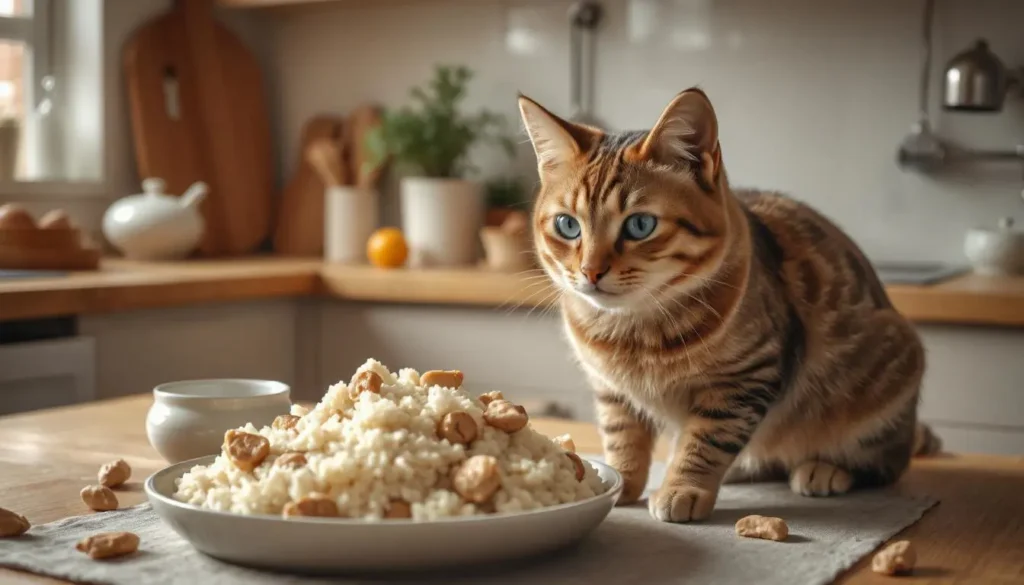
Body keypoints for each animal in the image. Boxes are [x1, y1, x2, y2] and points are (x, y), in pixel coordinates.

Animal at [524, 88, 937, 524]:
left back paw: (826, 469)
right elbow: (623, 437)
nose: (590, 271)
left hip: (884, 384)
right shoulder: (612, 390)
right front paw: (620, 482)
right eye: (568, 225)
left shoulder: (744, 379)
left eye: (640, 225)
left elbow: (706, 441)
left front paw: (682, 488)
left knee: (885, 462)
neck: (634, 331)